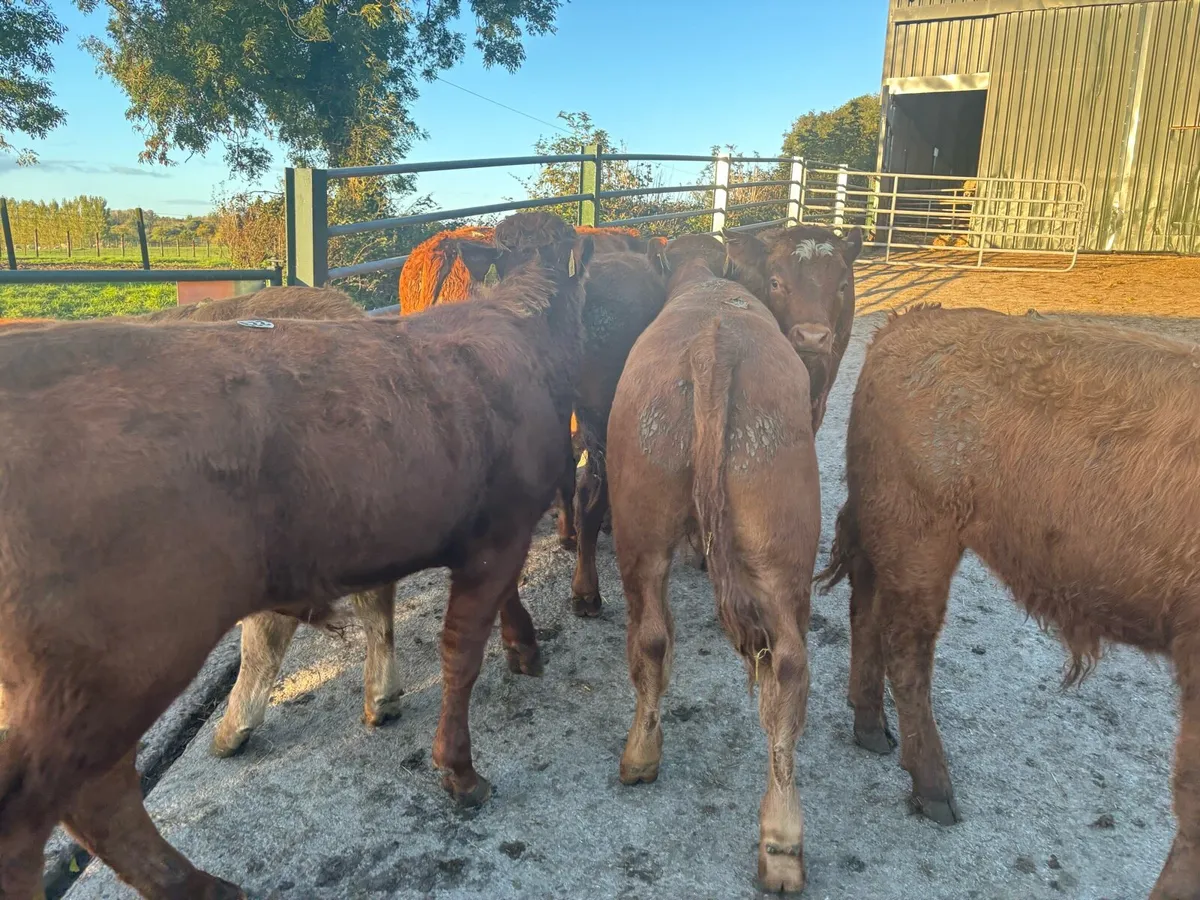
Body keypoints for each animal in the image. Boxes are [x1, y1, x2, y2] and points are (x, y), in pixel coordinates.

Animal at [0, 212, 593, 899]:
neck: (521, 328)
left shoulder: (498, 530)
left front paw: (523, 648)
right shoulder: (498, 534)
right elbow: (461, 653)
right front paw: (460, 770)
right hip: (123, 660)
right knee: (63, 806)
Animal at [818, 304, 1200, 900]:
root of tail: (906, 324)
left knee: (869, 612)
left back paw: (871, 728)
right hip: (919, 540)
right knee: (907, 649)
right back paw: (933, 788)